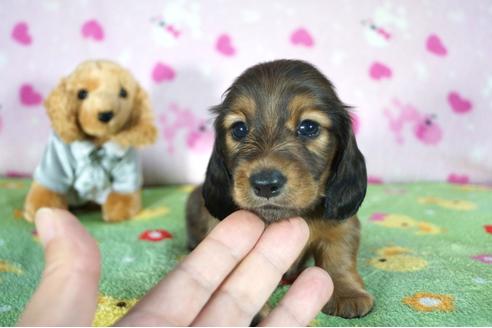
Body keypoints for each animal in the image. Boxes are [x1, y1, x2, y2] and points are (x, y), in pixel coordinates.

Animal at [185, 59, 372, 318]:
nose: (265, 185)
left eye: (309, 127)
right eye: (239, 129)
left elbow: (339, 256)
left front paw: (348, 293)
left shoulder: (341, 225)